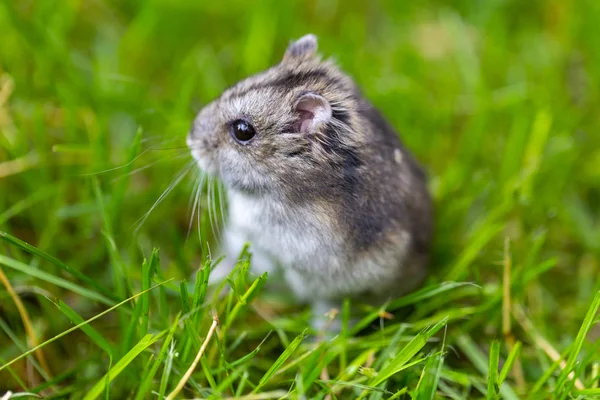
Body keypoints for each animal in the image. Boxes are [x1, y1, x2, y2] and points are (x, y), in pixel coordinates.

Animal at [186, 33, 432, 328]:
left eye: (243, 130)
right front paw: (203, 281)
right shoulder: (244, 237)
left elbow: (330, 310)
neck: (272, 193)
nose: (190, 140)